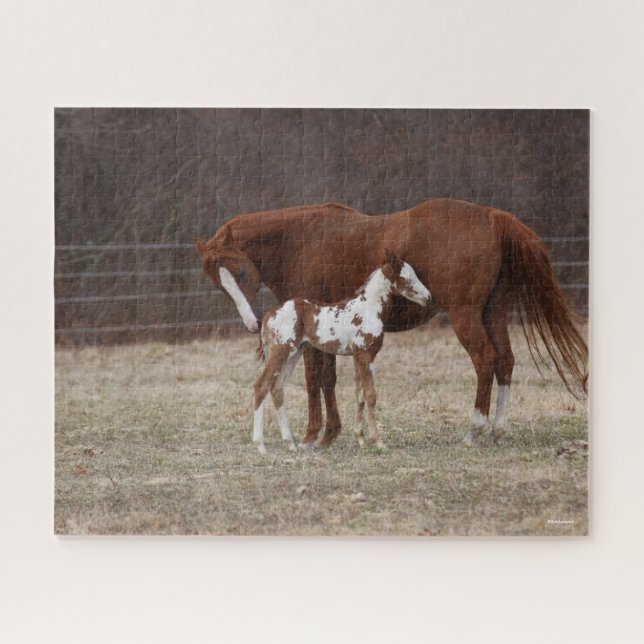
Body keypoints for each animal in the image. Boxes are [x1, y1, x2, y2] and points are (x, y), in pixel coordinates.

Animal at [251, 249, 431, 454]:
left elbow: (359, 395)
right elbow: (371, 395)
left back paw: (290, 444)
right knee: (261, 386)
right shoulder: (365, 355)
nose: (428, 297)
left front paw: (360, 439)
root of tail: (268, 315)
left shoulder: (359, 357)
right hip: (280, 351)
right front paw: (378, 442)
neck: (368, 309)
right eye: (406, 277)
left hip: (293, 353)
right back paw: (260, 446)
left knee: (277, 388)